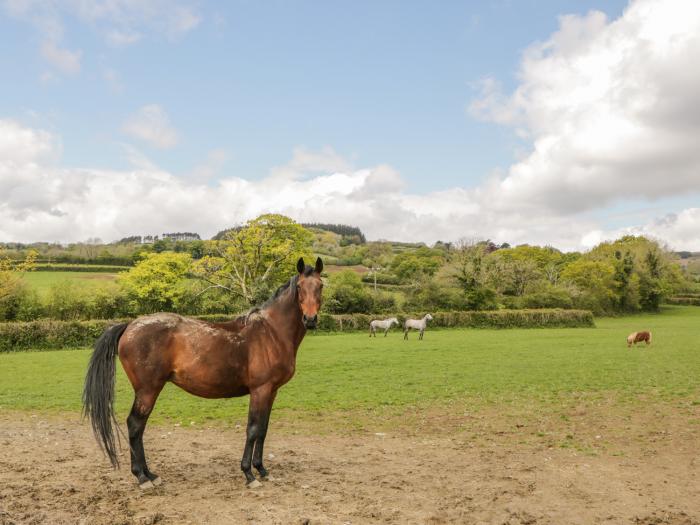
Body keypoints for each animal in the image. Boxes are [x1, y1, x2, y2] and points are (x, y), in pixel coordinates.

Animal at [83, 256, 324, 490]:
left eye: (320, 286)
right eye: (300, 287)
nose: (310, 319)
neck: (271, 332)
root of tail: (130, 325)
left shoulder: (271, 392)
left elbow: (263, 429)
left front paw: (262, 469)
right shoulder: (260, 390)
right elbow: (253, 429)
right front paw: (248, 474)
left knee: (138, 427)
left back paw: (150, 475)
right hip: (148, 390)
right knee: (135, 425)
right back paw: (143, 478)